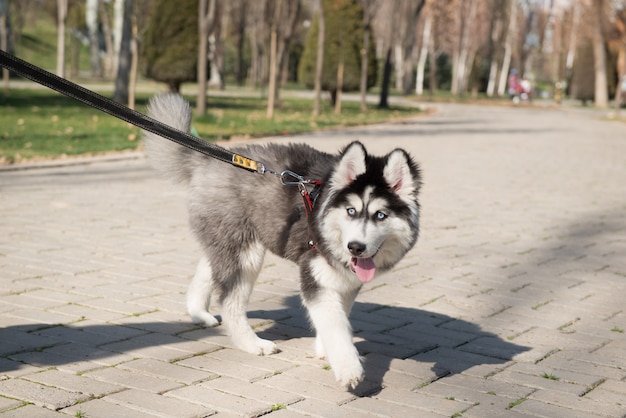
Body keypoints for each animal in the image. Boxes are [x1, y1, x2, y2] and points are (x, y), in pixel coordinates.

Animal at [143, 94, 420, 388]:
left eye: (380, 215)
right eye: (351, 211)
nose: (355, 247)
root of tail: (209, 162)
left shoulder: (346, 280)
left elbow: (340, 316)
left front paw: (324, 349)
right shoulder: (314, 274)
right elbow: (334, 324)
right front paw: (348, 369)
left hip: (227, 240)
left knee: (207, 269)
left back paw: (199, 313)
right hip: (246, 254)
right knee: (229, 301)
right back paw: (252, 344)